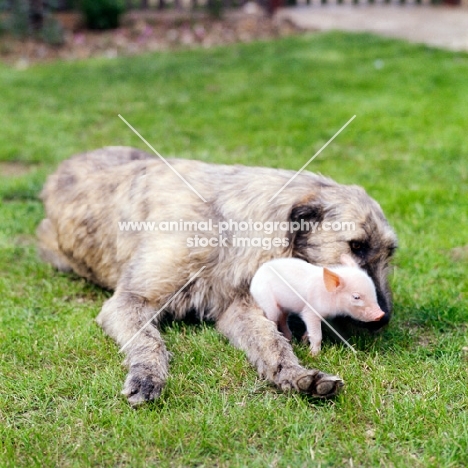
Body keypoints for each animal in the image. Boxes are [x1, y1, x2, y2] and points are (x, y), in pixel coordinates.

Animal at [36, 147, 396, 406]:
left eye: (390, 252)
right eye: (356, 245)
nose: (384, 318)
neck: (225, 226)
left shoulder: (238, 307)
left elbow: (270, 342)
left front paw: (294, 374)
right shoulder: (130, 299)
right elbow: (147, 339)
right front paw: (147, 376)